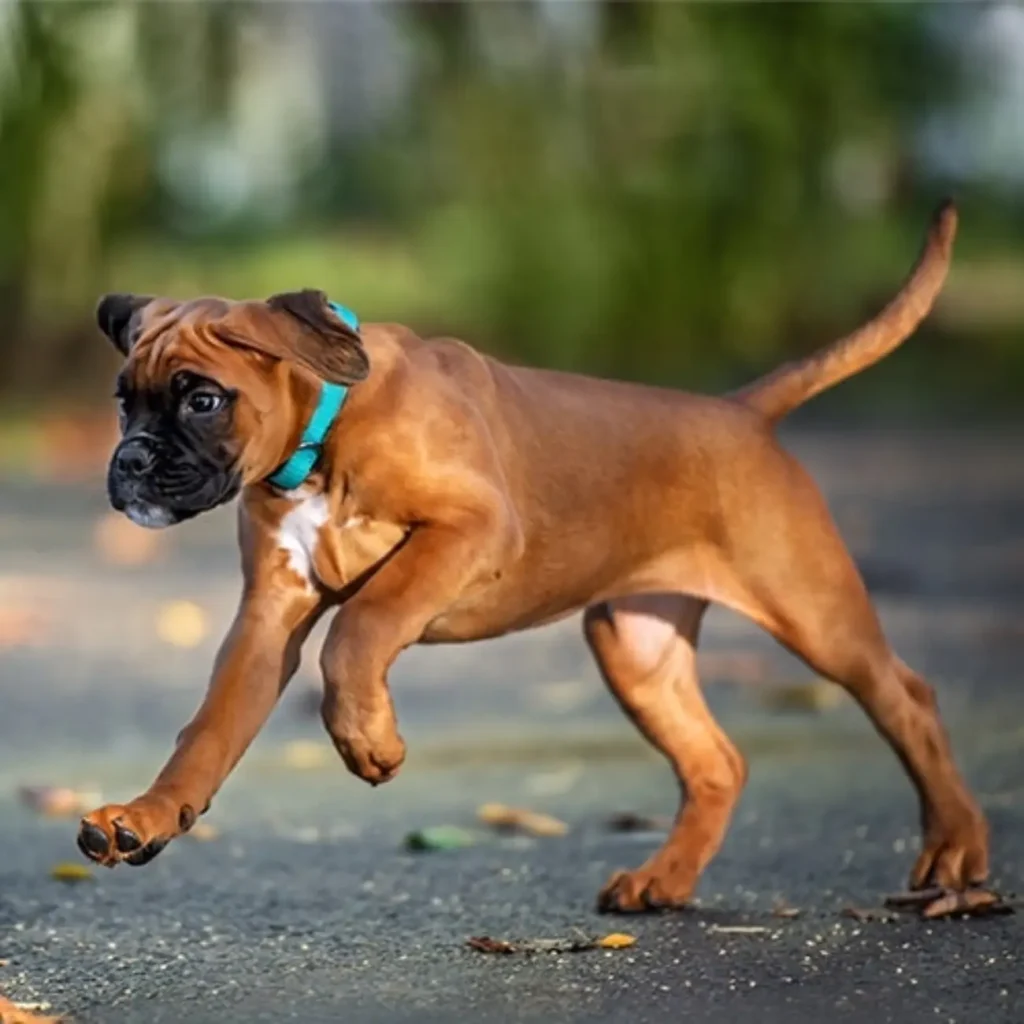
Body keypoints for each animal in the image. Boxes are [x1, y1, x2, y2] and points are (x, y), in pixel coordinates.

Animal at [75, 201, 987, 913]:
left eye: (203, 399)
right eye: (122, 404)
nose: (130, 463)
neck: (328, 427)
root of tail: (741, 413)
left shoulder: (468, 531)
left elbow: (360, 628)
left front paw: (370, 741)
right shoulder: (268, 616)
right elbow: (208, 731)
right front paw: (148, 816)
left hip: (814, 612)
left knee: (906, 699)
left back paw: (953, 853)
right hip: (635, 648)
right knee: (716, 763)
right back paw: (663, 880)